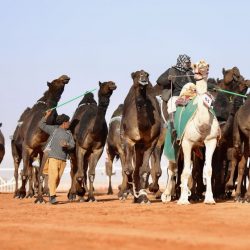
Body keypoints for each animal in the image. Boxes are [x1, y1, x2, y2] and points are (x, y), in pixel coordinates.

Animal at [120, 70, 161, 203]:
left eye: (147, 74)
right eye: (135, 75)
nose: (143, 78)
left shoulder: (151, 141)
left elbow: (144, 170)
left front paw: (143, 197)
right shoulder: (128, 139)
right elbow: (128, 169)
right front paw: (127, 193)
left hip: (140, 146)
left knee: (139, 168)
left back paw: (138, 195)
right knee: (133, 168)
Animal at [161, 59, 220, 204]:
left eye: (207, 65)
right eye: (195, 65)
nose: (203, 67)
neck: (201, 123)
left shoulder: (211, 141)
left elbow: (208, 170)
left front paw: (209, 199)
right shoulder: (187, 142)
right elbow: (185, 171)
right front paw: (183, 200)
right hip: (174, 143)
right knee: (172, 167)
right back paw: (166, 195)